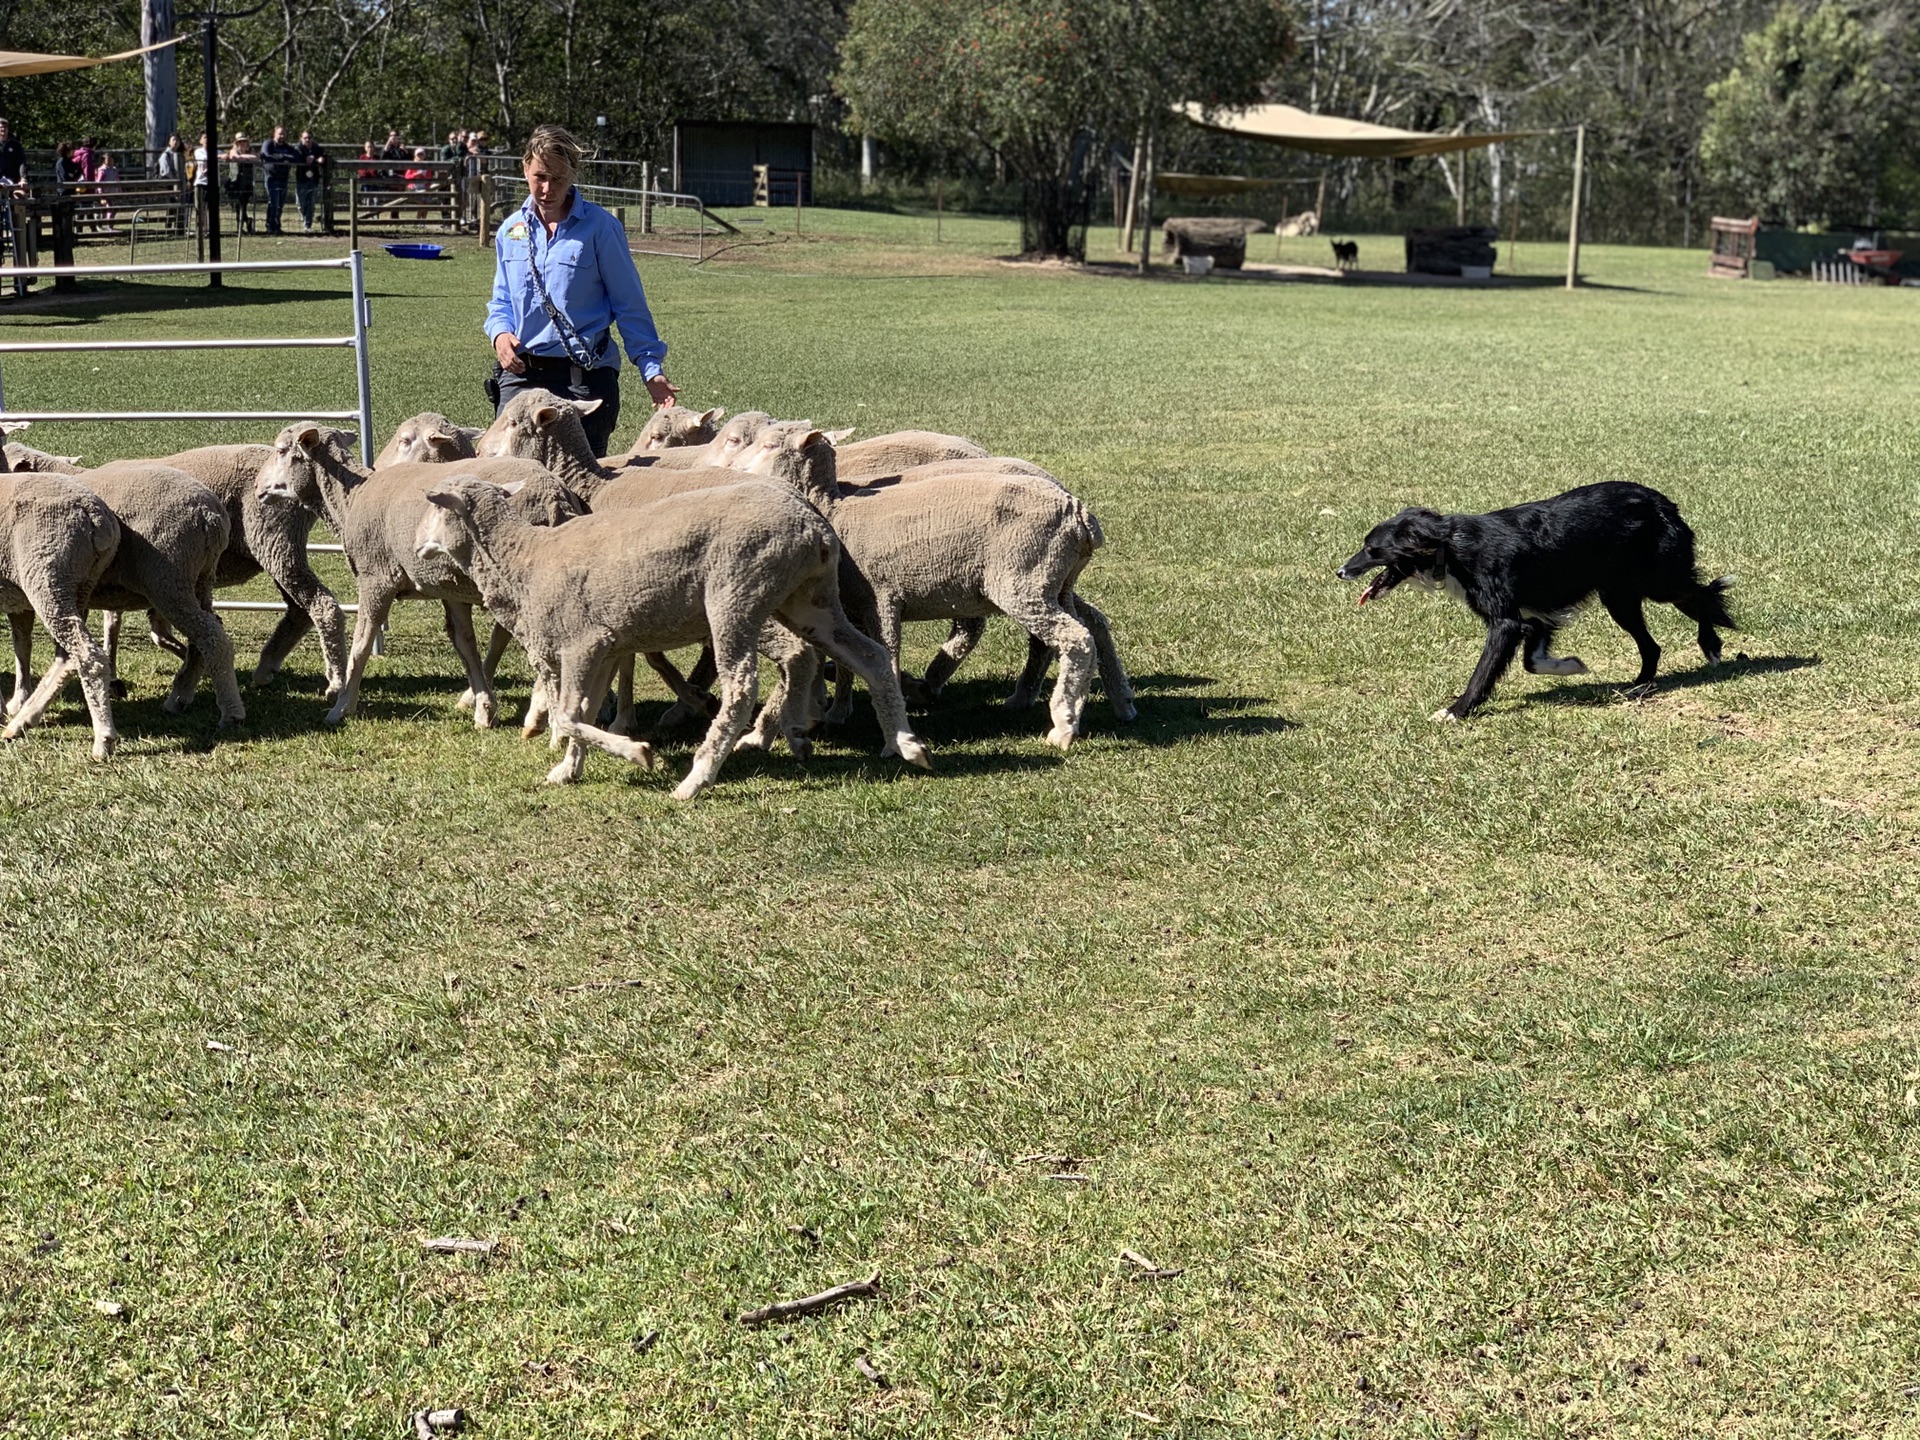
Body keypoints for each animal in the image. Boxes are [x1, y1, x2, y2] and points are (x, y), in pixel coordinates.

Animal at [0, 456, 121, 760]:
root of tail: (96, 516)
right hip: (78, 585)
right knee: (67, 657)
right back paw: (22, 721)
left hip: (47, 574)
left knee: (89, 656)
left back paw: (103, 740)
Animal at [255, 422, 583, 725]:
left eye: (282, 450)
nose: (258, 488)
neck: (350, 498)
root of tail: (554, 495)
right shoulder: (451, 588)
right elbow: (465, 643)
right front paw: (484, 707)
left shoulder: (376, 577)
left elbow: (362, 643)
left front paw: (341, 707)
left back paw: (543, 711)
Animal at [416, 480, 933, 806]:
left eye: (436, 509)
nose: (418, 547)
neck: (524, 558)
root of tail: (814, 526)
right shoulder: (605, 647)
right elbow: (584, 712)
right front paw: (569, 769)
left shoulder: (582, 642)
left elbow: (568, 715)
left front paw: (640, 754)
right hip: (809, 600)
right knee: (869, 657)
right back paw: (904, 744)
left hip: (736, 594)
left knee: (742, 685)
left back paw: (698, 777)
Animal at [733, 422, 1121, 748]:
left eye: (769, 444)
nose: (735, 472)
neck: (833, 506)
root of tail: (1077, 511)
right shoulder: (848, 606)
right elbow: (847, 663)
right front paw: (838, 711)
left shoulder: (881, 597)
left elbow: (884, 656)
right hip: (1051, 582)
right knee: (1083, 627)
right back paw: (1111, 701)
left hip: (1020, 578)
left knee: (1071, 638)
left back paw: (1063, 724)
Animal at [1336, 481, 1743, 721]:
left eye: (1372, 550)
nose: (1340, 571)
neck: (1448, 546)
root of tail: (1663, 502)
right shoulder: (1533, 617)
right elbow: (1533, 662)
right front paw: (1570, 667)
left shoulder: (1505, 622)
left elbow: (1483, 672)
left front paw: (1457, 710)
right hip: (1619, 597)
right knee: (1653, 645)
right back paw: (1638, 686)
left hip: (1659, 583)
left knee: (1703, 594)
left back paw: (1711, 645)